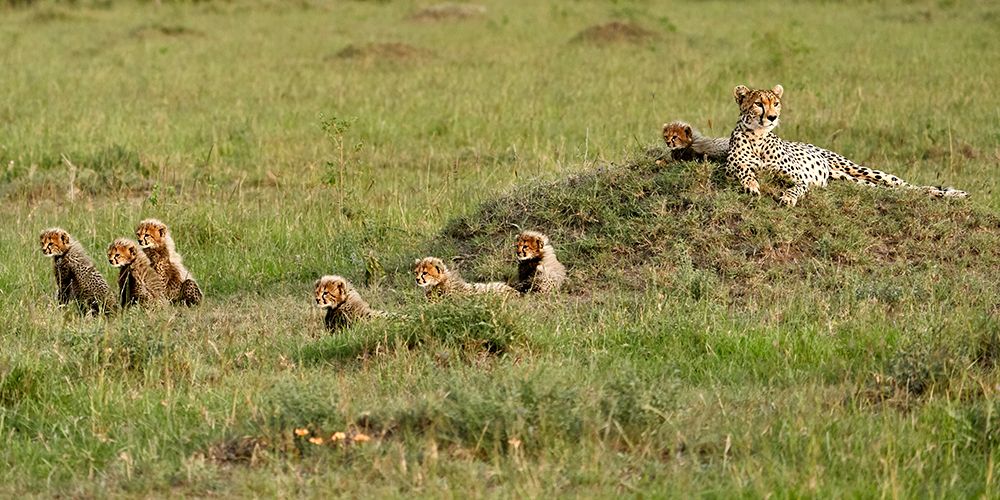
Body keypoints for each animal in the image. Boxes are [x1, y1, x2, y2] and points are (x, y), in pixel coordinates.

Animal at [726, 84, 968, 207]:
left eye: (776, 103)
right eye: (759, 103)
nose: (773, 117)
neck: (758, 138)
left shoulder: (800, 178)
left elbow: (797, 187)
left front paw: (787, 197)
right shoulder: (730, 168)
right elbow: (744, 170)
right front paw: (751, 185)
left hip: (862, 171)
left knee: (907, 186)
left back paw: (956, 193)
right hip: (853, 181)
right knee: (897, 190)